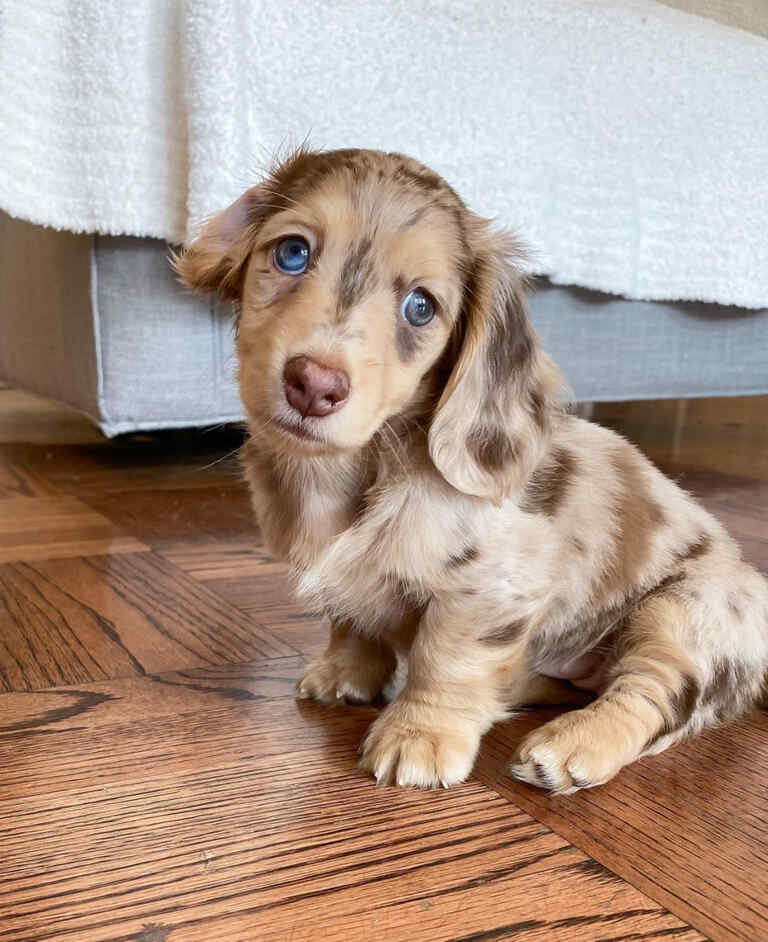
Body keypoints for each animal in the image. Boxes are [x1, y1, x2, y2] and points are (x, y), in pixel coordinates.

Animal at [174, 149, 768, 796]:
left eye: (421, 306)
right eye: (291, 253)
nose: (314, 384)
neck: (362, 468)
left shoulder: (490, 587)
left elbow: (447, 657)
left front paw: (421, 734)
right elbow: (352, 621)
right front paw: (345, 673)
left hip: (687, 609)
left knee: (650, 696)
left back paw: (574, 743)